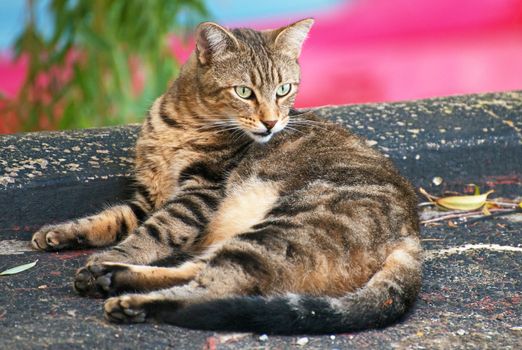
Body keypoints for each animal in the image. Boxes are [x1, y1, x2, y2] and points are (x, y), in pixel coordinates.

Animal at [30, 18, 420, 334]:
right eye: (244, 91)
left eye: (284, 89)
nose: (271, 122)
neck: (180, 124)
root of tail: (412, 235)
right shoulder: (149, 196)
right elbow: (112, 218)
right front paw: (62, 233)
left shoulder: (199, 191)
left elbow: (154, 233)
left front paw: (118, 252)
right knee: (196, 270)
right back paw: (107, 278)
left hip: (279, 230)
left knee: (214, 289)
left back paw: (127, 296)